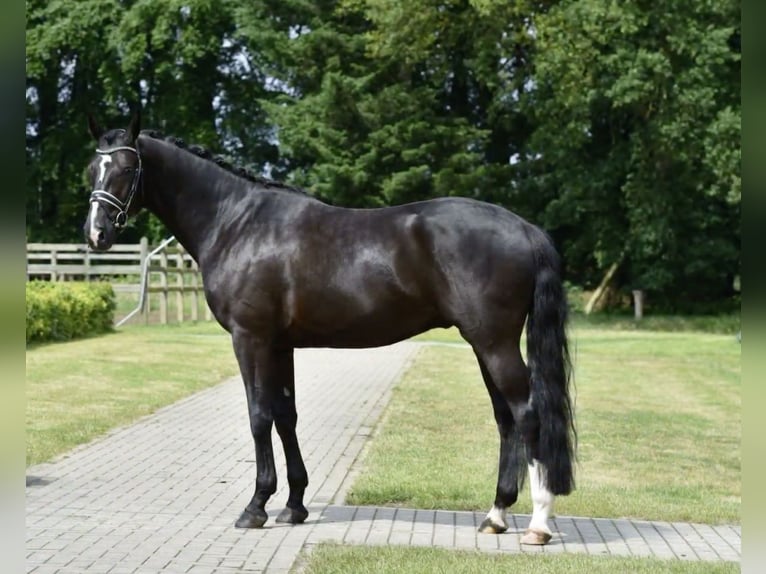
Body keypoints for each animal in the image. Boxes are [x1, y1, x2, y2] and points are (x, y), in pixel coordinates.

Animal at [84, 113, 576, 548]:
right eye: (93, 168)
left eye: (127, 168)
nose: (96, 234)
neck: (237, 222)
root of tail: (523, 228)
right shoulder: (280, 346)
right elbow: (286, 416)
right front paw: (294, 505)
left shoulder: (250, 339)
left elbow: (258, 416)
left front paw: (255, 507)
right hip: (482, 345)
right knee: (505, 419)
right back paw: (496, 516)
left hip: (494, 344)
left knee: (528, 415)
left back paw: (538, 524)